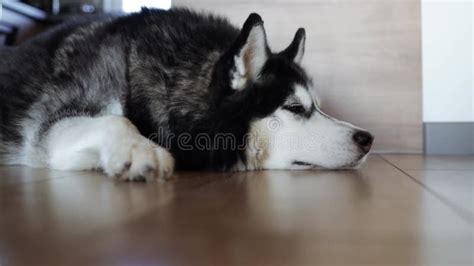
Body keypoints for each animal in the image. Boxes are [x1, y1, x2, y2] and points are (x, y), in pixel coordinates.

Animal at [0, 7, 374, 181]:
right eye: (295, 107)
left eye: (319, 107)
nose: (367, 138)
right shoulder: (51, 127)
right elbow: (115, 121)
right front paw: (140, 149)